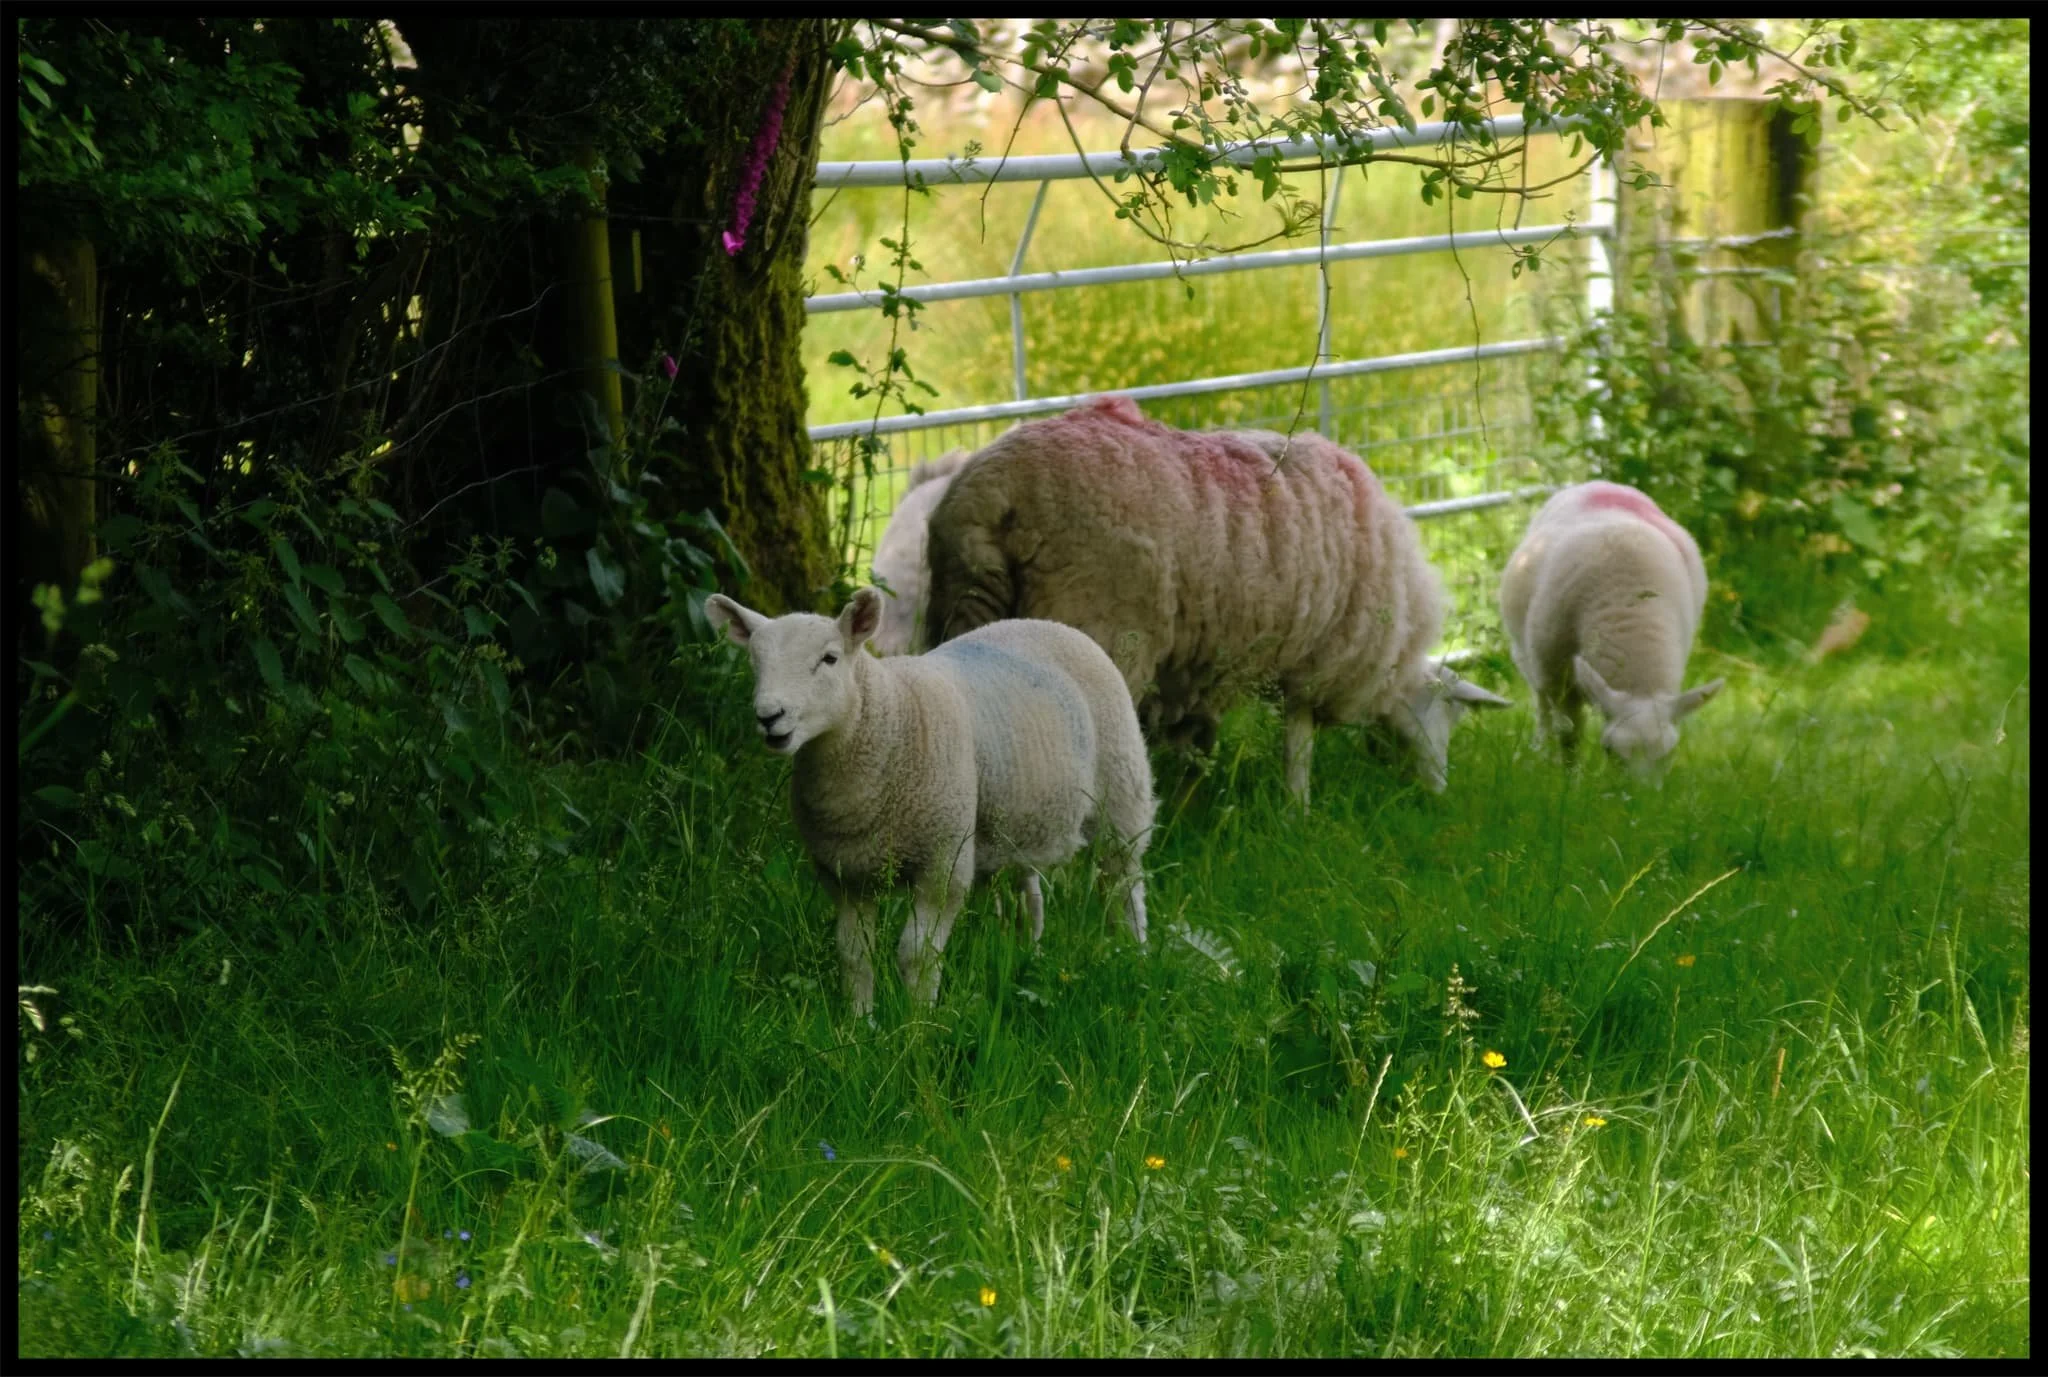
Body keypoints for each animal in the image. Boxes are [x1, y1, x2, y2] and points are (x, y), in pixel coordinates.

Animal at [705, 586, 1155, 1016]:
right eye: (755, 662)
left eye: (829, 659)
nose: (769, 716)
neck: (888, 716)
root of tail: (1051, 624)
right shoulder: (845, 875)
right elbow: (854, 955)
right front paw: (858, 1024)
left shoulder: (943, 865)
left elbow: (917, 956)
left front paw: (917, 1026)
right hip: (1017, 819)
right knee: (1028, 898)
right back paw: (1025, 957)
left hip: (1122, 799)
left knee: (1124, 888)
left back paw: (1134, 959)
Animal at [920, 395, 1510, 806]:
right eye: (1451, 714)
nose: (1437, 795)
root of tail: (991, 493)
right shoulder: (1312, 660)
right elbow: (1298, 745)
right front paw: (1298, 811)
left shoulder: (1200, 663)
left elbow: (1199, 742)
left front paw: (1192, 804)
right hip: (1097, 627)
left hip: (964, 607)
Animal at [1498, 480, 1725, 779]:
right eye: (1609, 751)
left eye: (1668, 755)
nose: (1637, 794)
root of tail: (1604, 484)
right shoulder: (1557, 677)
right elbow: (1569, 735)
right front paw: (1569, 780)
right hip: (1528, 657)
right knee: (1542, 706)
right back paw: (1540, 752)